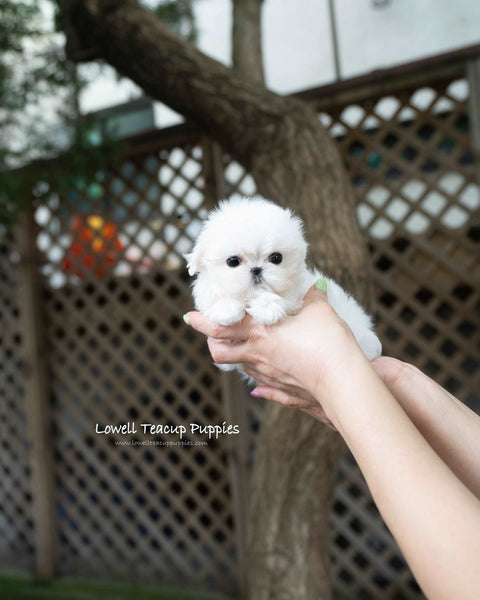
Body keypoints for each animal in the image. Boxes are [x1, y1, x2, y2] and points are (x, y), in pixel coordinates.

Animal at [185, 195, 382, 372]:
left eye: (276, 258)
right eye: (232, 261)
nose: (256, 269)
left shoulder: (294, 299)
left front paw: (267, 308)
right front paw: (226, 309)